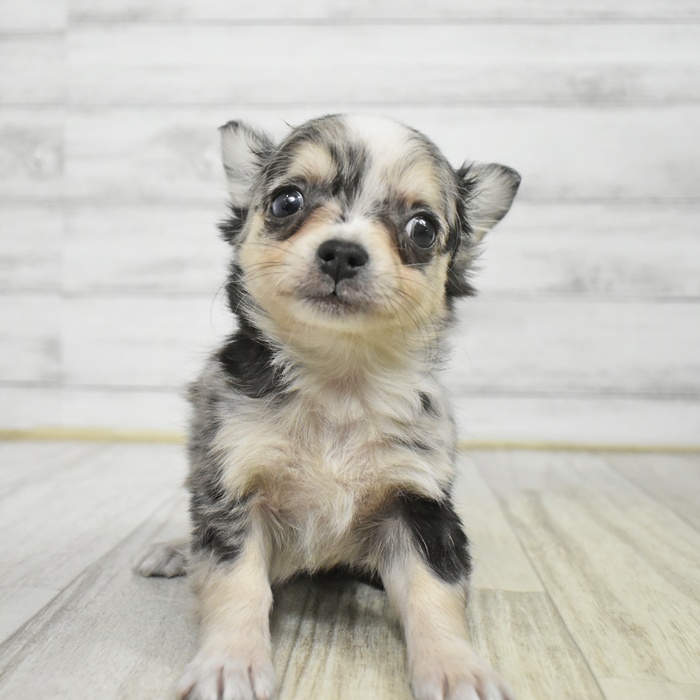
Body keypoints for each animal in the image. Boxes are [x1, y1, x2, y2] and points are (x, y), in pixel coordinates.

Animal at [136, 114, 520, 700]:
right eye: (286, 201)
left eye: (423, 229)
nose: (342, 251)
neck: (339, 380)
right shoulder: (233, 487)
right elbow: (235, 582)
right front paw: (230, 662)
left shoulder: (419, 503)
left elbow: (435, 588)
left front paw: (457, 668)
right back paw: (177, 550)